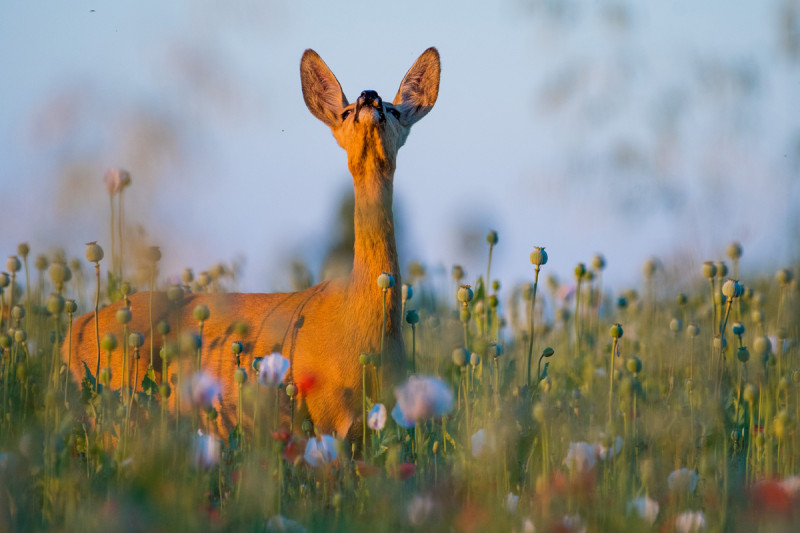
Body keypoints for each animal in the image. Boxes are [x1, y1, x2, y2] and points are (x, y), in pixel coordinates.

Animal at [67, 45, 444, 438]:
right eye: (345, 111)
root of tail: (73, 331)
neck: (362, 322)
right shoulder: (323, 419)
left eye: (394, 109)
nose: (368, 96)